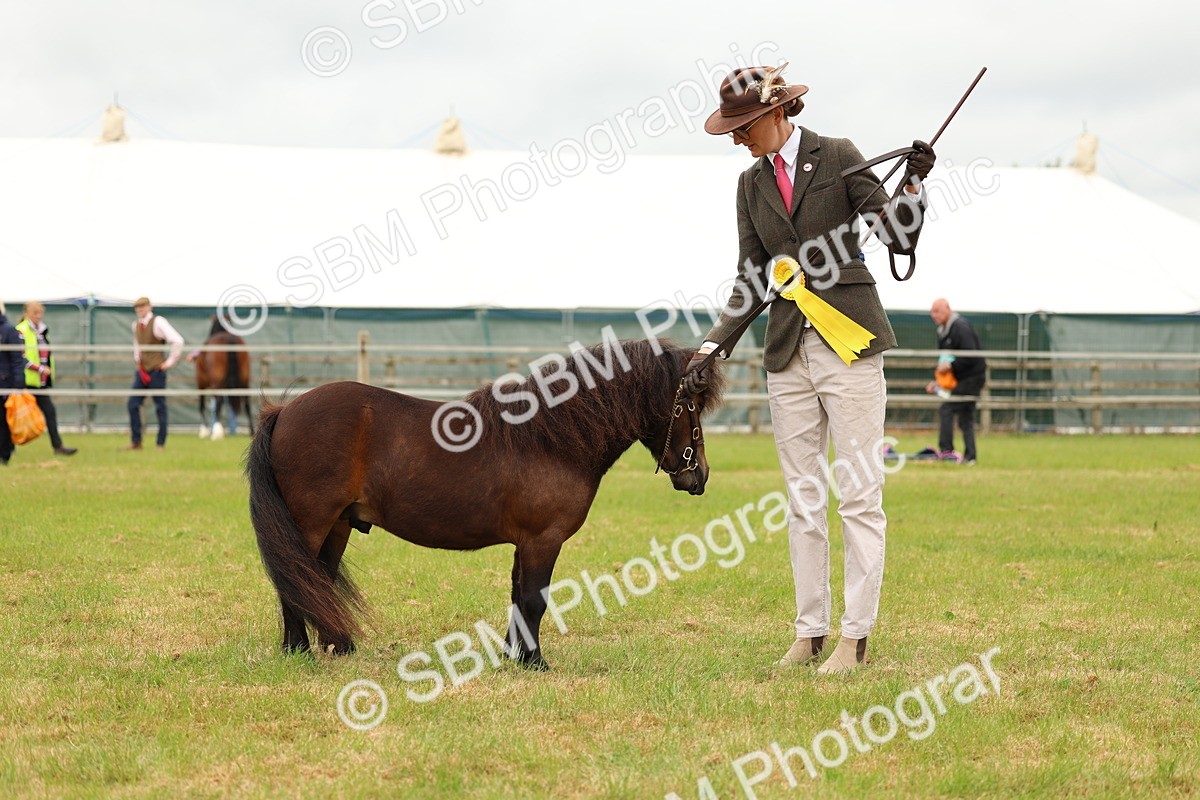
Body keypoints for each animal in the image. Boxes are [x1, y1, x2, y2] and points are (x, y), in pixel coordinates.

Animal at [245, 339, 724, 668]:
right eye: (691, 404)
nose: (698, 475)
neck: (549, 440)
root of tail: (285, 412)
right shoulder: (543, 540)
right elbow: (534, 599)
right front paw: (535, 663)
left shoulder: (525, 544)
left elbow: (518, 597)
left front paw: (514, 656)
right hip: (312, 523)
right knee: (295, 579)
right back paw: (299, 651)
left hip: (338, 526)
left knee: (316, 581)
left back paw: (335, 647)